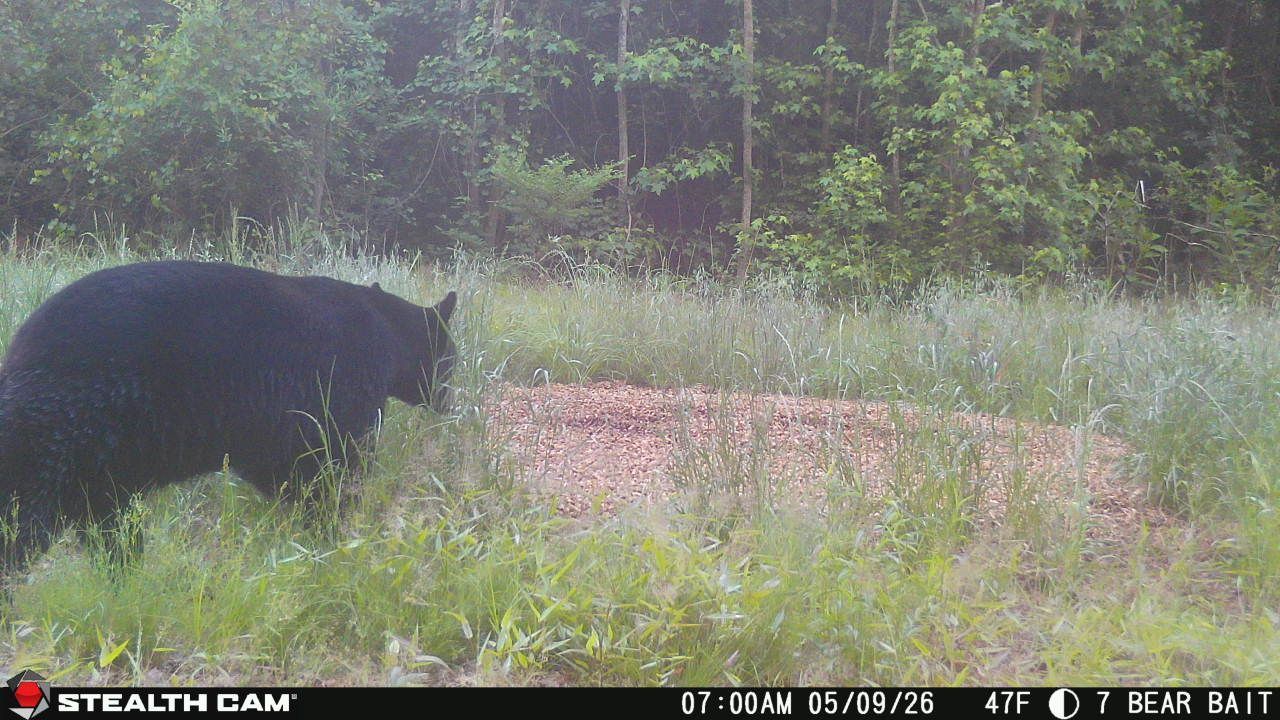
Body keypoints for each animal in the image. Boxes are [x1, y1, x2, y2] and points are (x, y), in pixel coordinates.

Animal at [0, 260, 457, 573]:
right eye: (452, 359)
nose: (450, 403)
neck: (389, 335)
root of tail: (19, 350)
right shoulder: (340, 398)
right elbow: (334, 475)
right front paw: (335, 538)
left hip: (102, 463)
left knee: (109, 526)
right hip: (65, 428)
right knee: (27, 516)